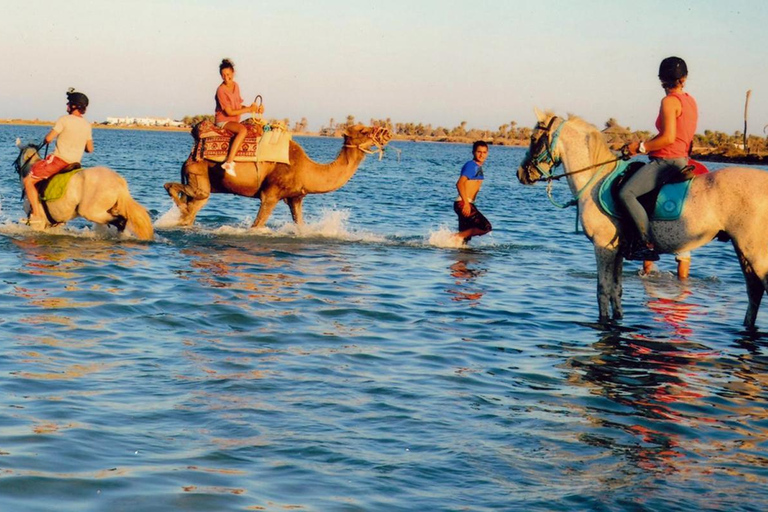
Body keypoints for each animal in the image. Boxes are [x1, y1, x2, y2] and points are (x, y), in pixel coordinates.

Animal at [162, 123, 390, 227]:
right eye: (363, 131)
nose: (385, 132)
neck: (306, 169)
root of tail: (191, 156)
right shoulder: (270, 195)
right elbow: (256, 226)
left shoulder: (295, 198)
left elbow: (301, 226)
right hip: (198, 173)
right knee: (180, 192)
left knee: (193, 206)